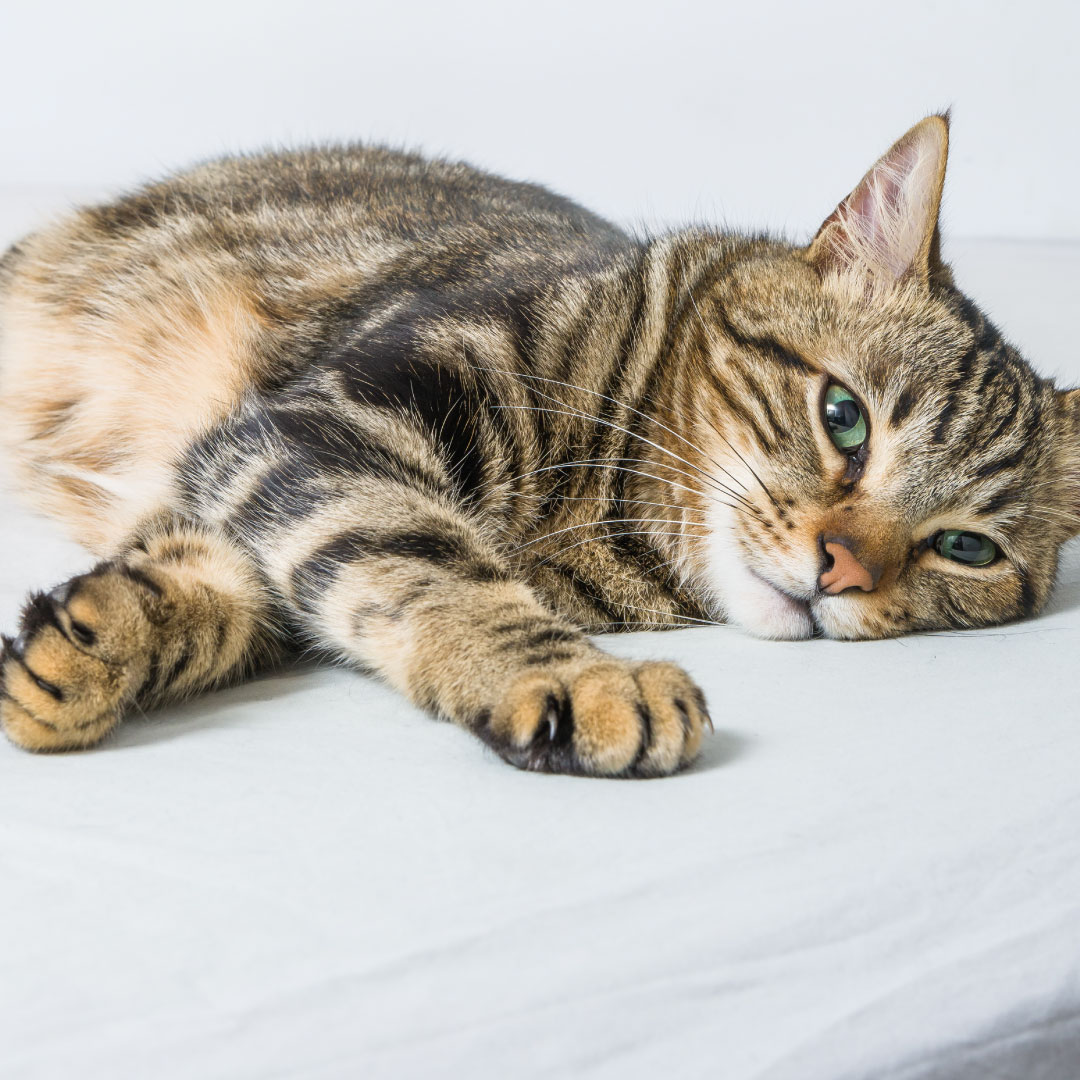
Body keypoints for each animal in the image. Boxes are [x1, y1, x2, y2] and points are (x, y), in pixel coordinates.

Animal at [2, 118, 1080, 773]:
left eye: (967, 548)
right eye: (846, 417)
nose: (843, 569)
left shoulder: (256, 471)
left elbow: (241, 590)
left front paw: (98, 642)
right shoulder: (326, 421)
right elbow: (426, 558)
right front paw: (579, 678)